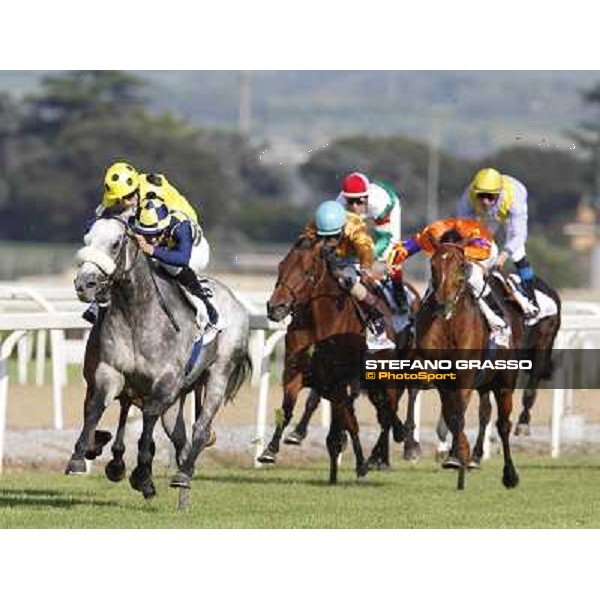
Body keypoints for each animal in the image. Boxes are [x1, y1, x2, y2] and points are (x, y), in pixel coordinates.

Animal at [418, 241, 524, 490]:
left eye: (460, 264)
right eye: (433, 264)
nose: (443, 301)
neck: (450, 323)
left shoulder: (465, 377)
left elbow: (459, 417)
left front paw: (460, 460)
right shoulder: (443, 383)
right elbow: (452, 417)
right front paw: (458, 456)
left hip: (505, 383)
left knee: (503, 424)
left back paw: (510, 475)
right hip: (483, 385)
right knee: (483, 412)